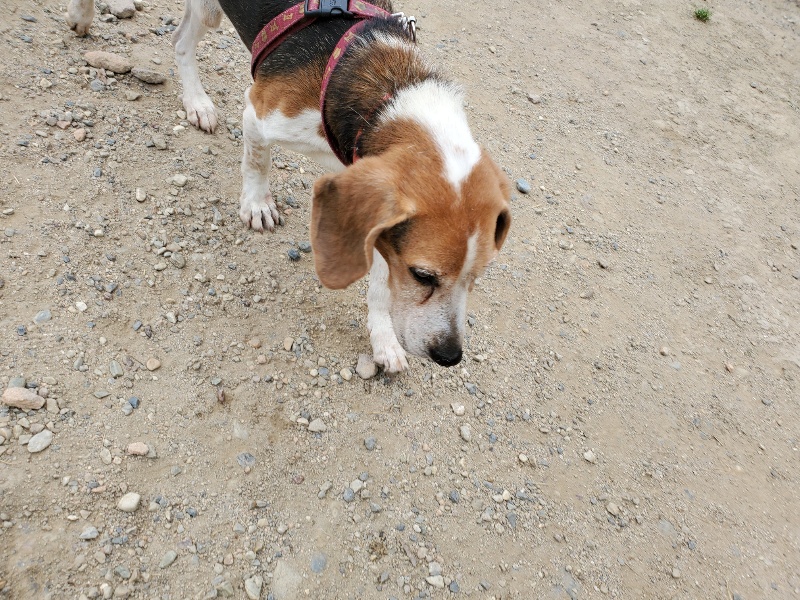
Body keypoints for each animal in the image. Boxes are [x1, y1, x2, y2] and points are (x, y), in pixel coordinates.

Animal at [66, 0, 512, 372]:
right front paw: (257, 205)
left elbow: (380, 291)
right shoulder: (259, 112)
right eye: (423, 276)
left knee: (179, 41)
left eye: (477, 276)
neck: (389, 94)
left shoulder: (379, 224)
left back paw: (196, 102)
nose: (450, 357)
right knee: (177, 42)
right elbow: (256, 162)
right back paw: (89, 22)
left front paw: (384, 341)